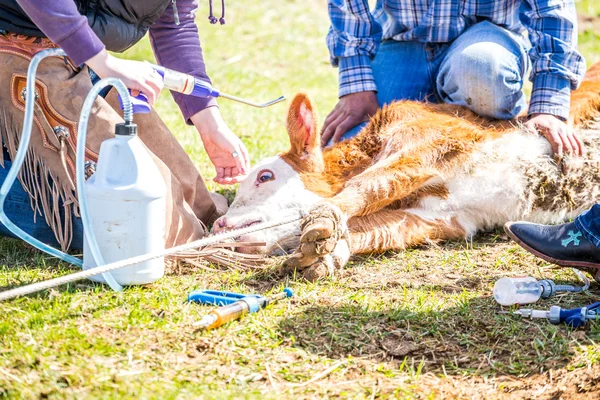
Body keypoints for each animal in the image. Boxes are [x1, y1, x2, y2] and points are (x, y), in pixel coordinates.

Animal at [214, 63, 600, 282]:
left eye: (265, 176)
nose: (218, 225)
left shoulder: (431, 140)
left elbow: (370, 184)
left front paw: (325, 218)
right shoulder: (442, 218)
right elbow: (374, 230)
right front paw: (328, 255)